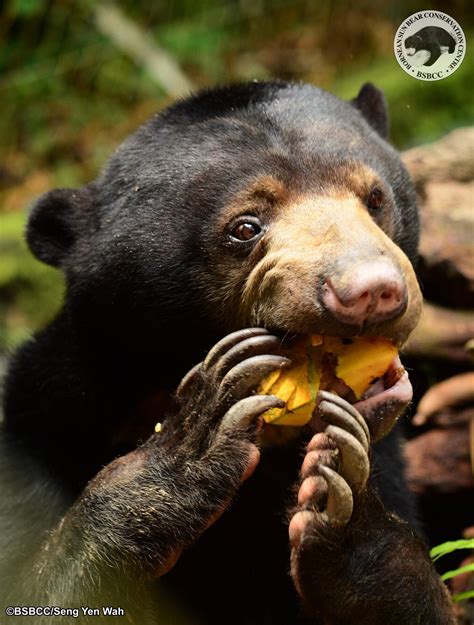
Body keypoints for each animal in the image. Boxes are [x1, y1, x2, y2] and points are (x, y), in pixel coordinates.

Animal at [0, 80, 454, 620]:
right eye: (245, 227)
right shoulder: (39, 431)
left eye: (375, 197)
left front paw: (346, 514)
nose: (371, 290)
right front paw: (196, 440)